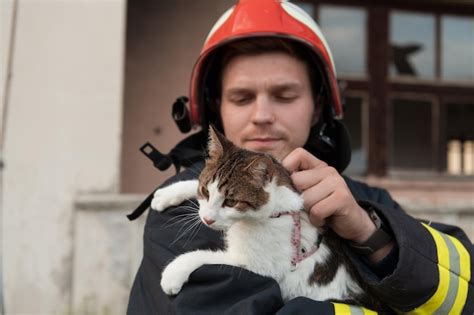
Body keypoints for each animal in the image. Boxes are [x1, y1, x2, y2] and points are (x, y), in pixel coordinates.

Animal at [154, 127, 384, 312]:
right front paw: (168, 193)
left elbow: (207, 256)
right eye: (205, 191)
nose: (207, 219)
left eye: (231, 201)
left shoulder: (260, 264)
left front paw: (175, 271)